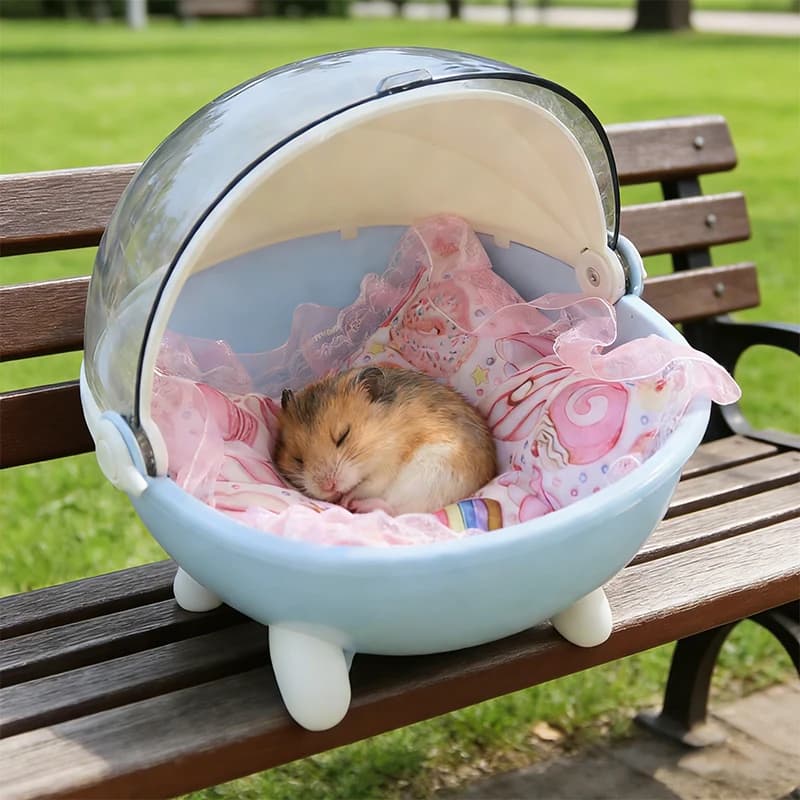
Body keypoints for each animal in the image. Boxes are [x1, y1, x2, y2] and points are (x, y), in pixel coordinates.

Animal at [275, 366, 497, 515]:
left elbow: (369, 485)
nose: (328, 487)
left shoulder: (388, 463)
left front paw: (346, 497)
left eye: (343, 435)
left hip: (429, 473)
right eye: (298, 459)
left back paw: (354, 504)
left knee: (394, 509)